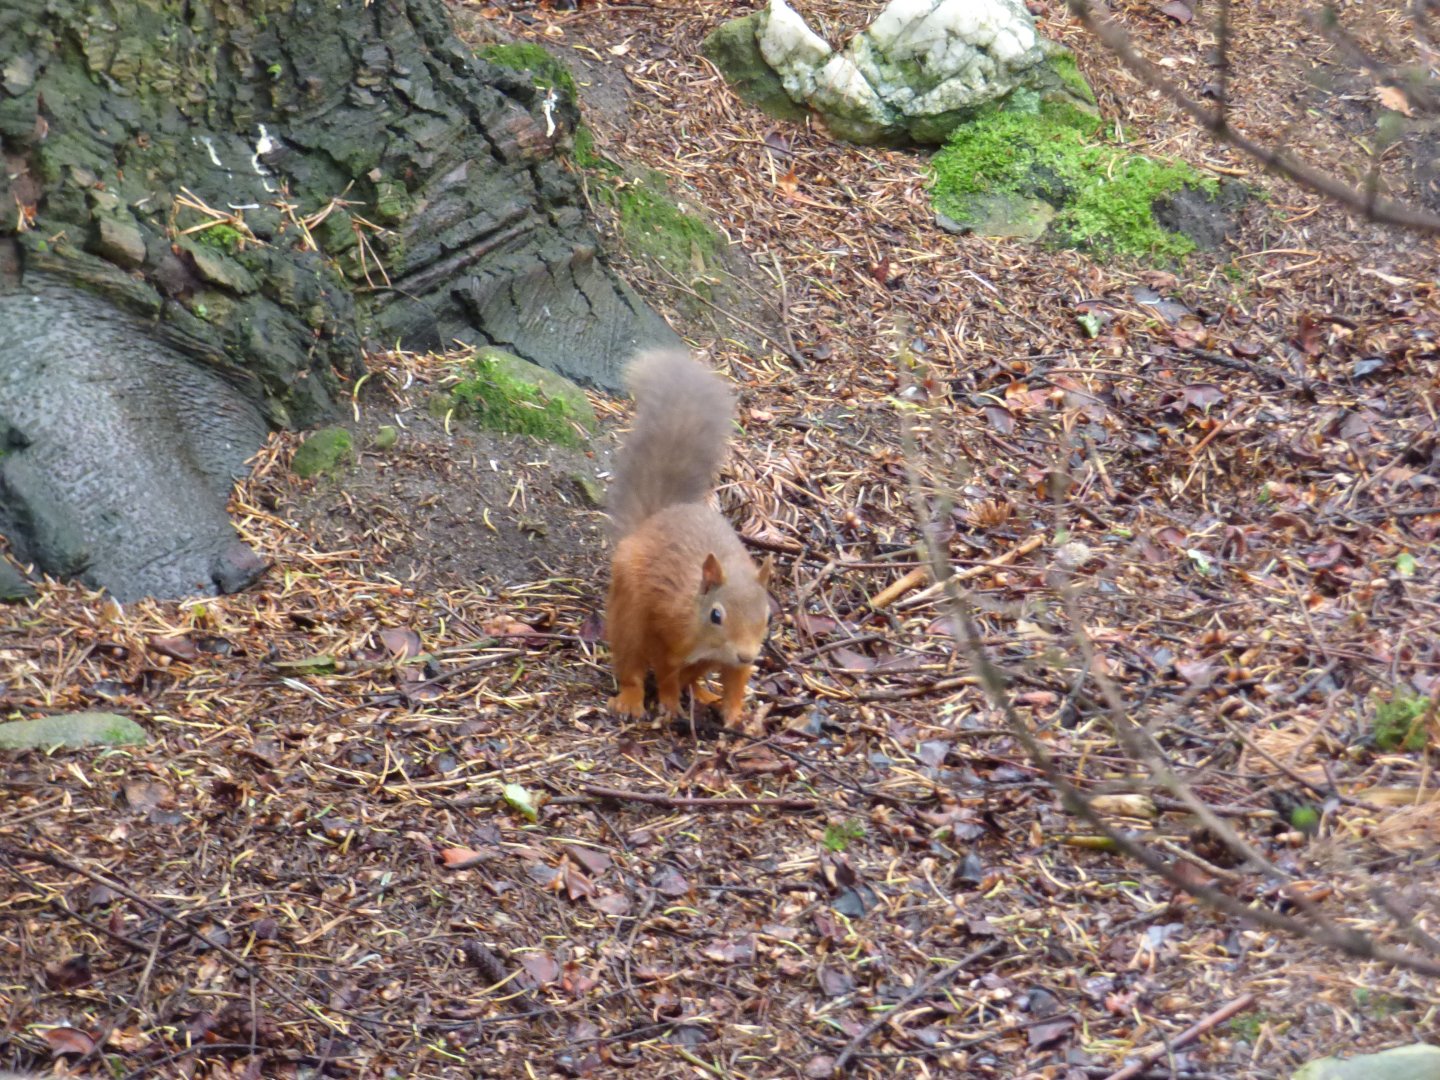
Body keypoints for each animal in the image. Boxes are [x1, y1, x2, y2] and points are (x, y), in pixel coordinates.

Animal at [605, 348, 773, 725]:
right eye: (716, 616)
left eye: (768, 615)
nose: (746, 654)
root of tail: (654, 520)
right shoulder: (665, 634)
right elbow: (666, 674)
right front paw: (668, 704)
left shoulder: (732, 660)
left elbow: (736, 682)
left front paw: (735, 714)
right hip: (628, 615)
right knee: (631, 664)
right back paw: (632, 701)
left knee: (693, 677)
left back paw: (702, 693)